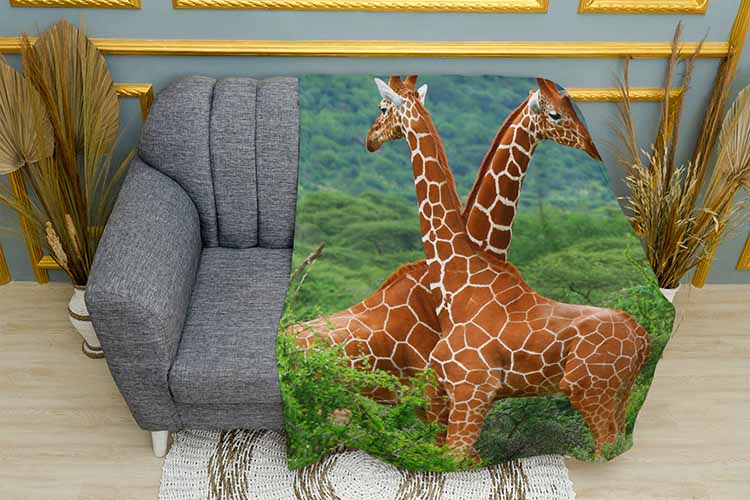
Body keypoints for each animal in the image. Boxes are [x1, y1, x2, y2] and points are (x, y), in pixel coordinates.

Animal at [364, 75, 650, 458]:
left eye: (382, 108)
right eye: (558, 113)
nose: (371, 139)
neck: (456, 278)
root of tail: (642, 338)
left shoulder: (471, 389)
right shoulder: (451, 393)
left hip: (590, 390)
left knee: (606, 447)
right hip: (619, 394)